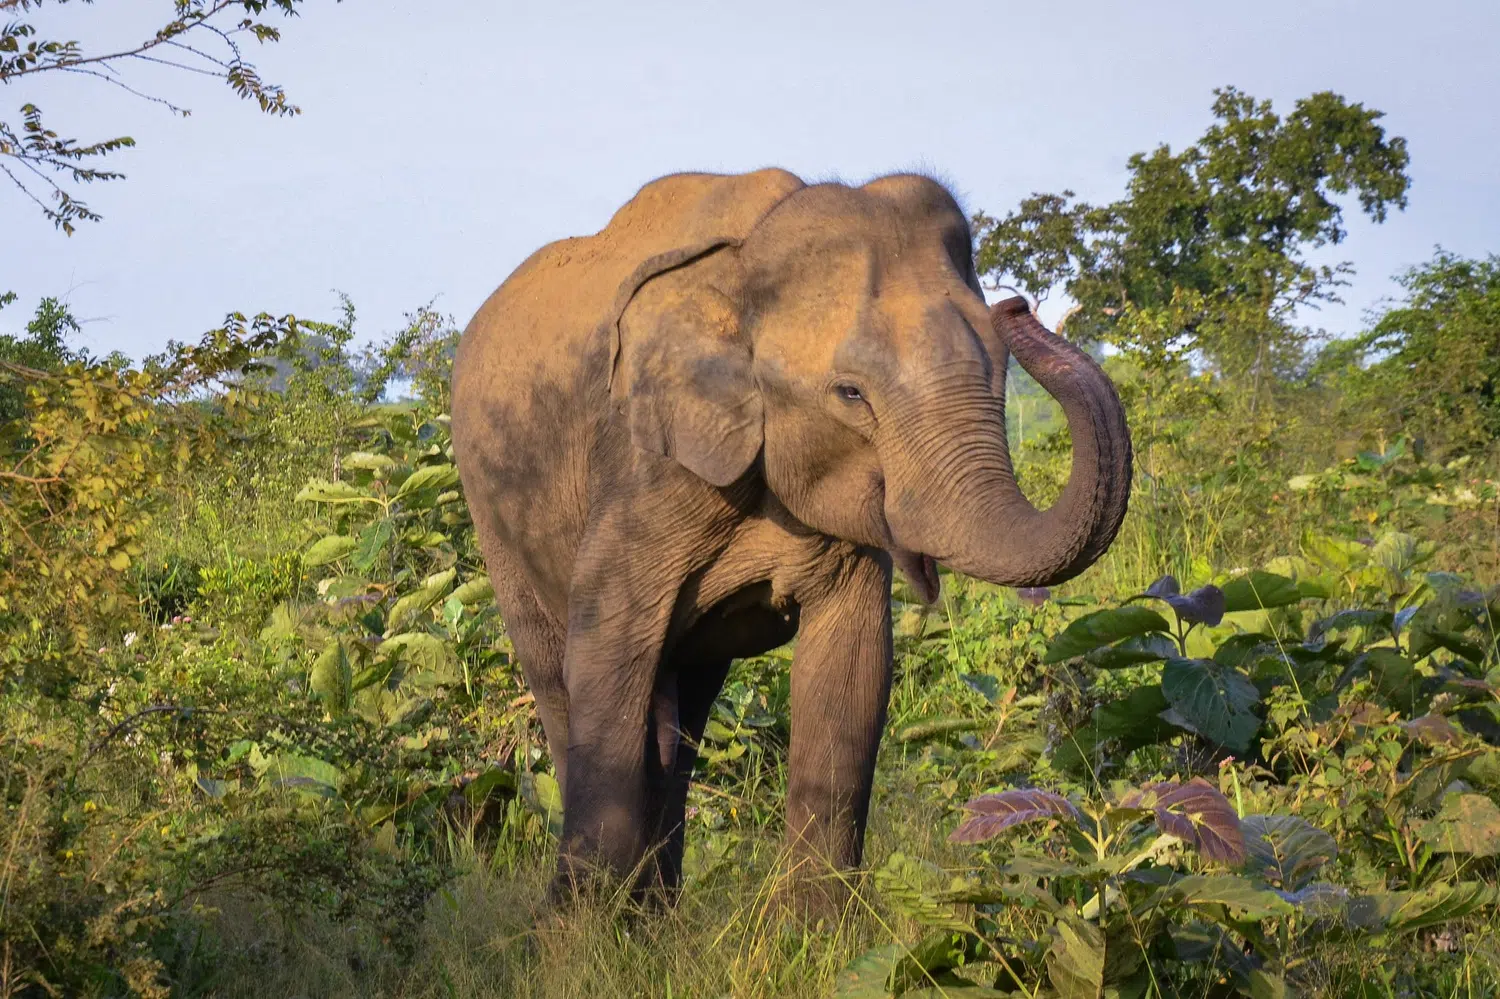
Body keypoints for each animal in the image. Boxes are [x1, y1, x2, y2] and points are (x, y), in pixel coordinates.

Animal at [450, 168, 1132, 905]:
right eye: (851, 393)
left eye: (999, 366)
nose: (1020, 307)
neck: (747, 264)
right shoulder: (643, 469)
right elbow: (607, 653)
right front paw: (581, 932)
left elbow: (851, 670)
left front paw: (818, 931)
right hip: (492, 510)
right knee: (561, 677)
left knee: (683, 709)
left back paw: (657, 913)